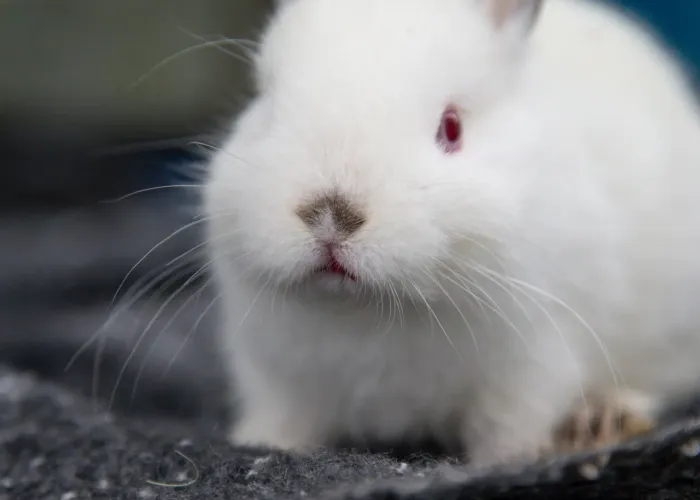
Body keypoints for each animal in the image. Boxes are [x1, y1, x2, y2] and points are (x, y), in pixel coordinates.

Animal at [203, 0, 700, 468]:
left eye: (452, 127)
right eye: (268, 108)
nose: (330, 216)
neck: (370, 311)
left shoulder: (533, 363)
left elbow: (510, 427)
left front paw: (509, 460)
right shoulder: (273, 375)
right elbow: (284, 422)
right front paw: (262, 443)